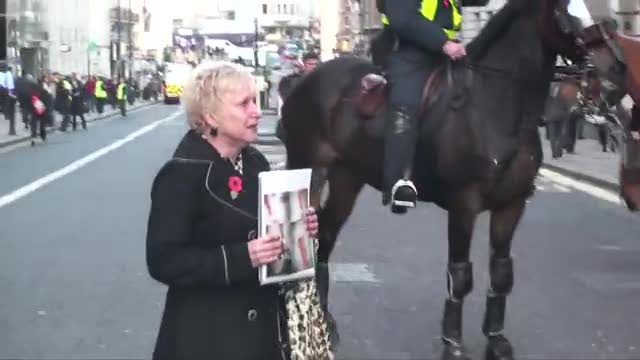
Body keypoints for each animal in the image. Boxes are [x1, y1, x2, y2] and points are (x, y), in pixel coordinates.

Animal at [280, 0, 592, 360]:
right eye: (564, 11)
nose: (596, 64)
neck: (494, 104)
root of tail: (305, 80)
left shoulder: (512, 204)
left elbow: (501, 272)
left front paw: (496, 340)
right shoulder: (464, 202)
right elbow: (460, 274)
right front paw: (452, 344)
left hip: (347, 176)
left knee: (326, 233)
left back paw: (325, 320)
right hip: (308, 167)